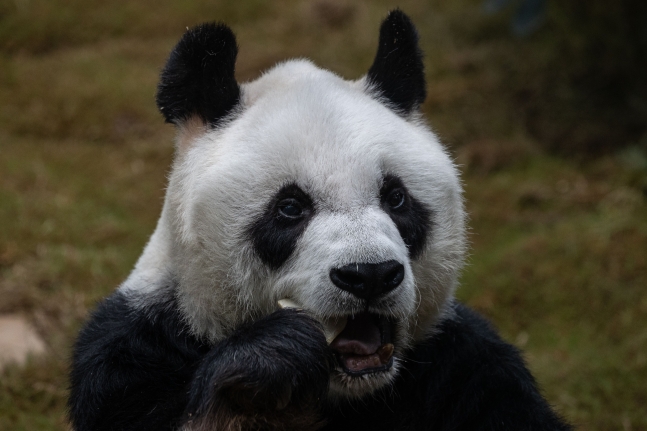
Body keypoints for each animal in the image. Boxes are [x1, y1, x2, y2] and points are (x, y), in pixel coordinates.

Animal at [67, 10, 572, 431]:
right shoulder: (133, 357)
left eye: (396, 198)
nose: (369, 275)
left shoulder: (465, 366)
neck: (344, 391)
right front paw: (263, 369)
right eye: (290, 208)